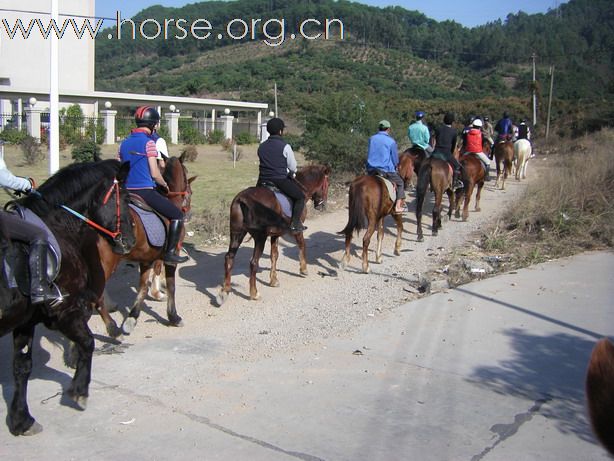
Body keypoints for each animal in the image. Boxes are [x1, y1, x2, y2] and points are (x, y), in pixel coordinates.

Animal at [0, 160, 135, 436]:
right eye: (126, 198)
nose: (130, 241)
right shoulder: (64, 311)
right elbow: (88, 342)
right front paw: (79, 391)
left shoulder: (25, 321)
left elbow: (22, 366)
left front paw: (21, 420)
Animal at [97, 155, 196, 334]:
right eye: (189, 188)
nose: (188, 214)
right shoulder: (171, 254)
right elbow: (169, 283)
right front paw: (171, 313)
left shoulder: (147, 257)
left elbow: (143, 285)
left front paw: (132, 317)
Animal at [217, 164, 332, 304]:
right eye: (327, 184)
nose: (322, 205)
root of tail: (242, 199)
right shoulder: (297, 229)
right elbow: (302, 245)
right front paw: (303, 269)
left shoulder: (275, 234)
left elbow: (274, 255)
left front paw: (273, 280)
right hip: (259, 237)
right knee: (253, 262)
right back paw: (254, 293)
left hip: (237, 233)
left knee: (229, 258)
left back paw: (225, 291)